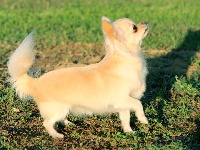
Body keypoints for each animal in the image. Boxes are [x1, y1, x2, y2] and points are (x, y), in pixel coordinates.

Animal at [7, 16, 148, 138]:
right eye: (134, 28)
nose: (145, 22)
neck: (127, 59)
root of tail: (36, 83)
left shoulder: (124, 103)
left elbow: (126, 118)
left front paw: (129, 131)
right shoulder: (121, 98)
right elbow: (138, 104)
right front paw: (143, 119)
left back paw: (68, 123)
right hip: (58, 109)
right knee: (47, 123)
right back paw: (56, 135)